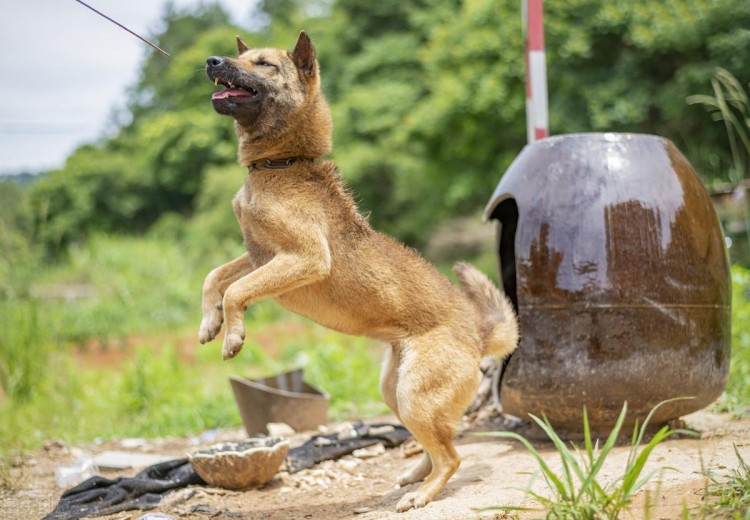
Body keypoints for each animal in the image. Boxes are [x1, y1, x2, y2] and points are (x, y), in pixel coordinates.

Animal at [200, 32, 520, 512]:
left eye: (264, 64)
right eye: (242, 56)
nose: (212, 60)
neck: (284, 164)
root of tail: (479, 334)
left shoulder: (303, 258)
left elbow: (236, 290)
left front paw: (233, 335)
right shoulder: (258, 256)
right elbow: (216, 278)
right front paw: (210, 322)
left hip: (413, 396)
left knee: (451, 456)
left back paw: (422, 495)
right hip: (397, 393)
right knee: (439, 444)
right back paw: (415, 476)